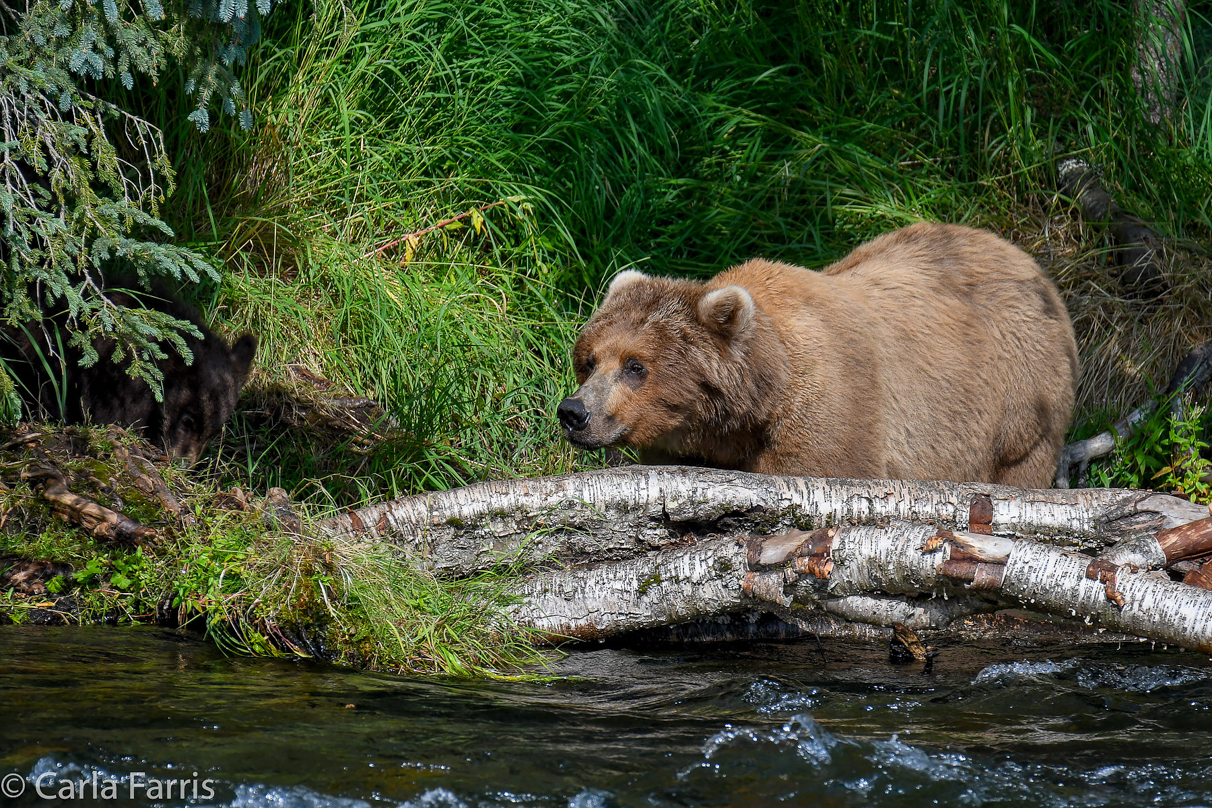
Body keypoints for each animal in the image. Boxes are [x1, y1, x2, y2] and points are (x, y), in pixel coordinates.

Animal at [557, 221, 1081, 486]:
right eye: (589, 360)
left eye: (635, 366)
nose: (574, 412)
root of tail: (1024, 258)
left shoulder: (834, 402)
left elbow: (823, 465)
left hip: (1017, 405)